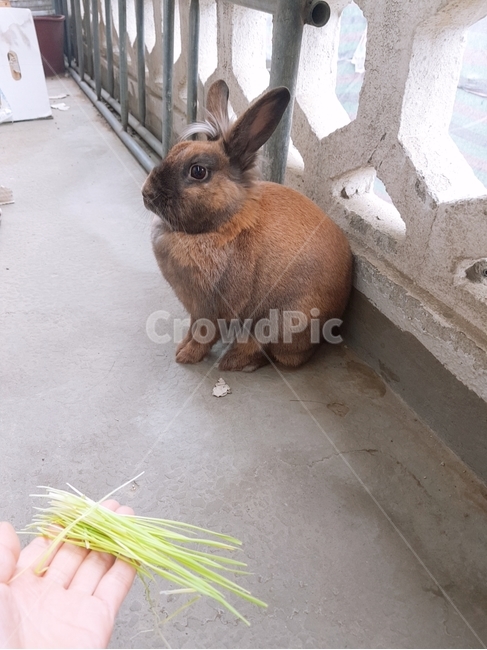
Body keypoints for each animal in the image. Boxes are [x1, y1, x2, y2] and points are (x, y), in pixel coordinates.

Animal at [142, 79, 352, 372]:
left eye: (198, 171)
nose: (146, 193)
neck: (221, 225)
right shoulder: (196, 311)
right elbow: (192, 330)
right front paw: (181, 347)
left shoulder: (212, 311)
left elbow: (203, 336)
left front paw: (186, 357)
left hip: (284, 323)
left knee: (279, 355)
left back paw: (233, 361)